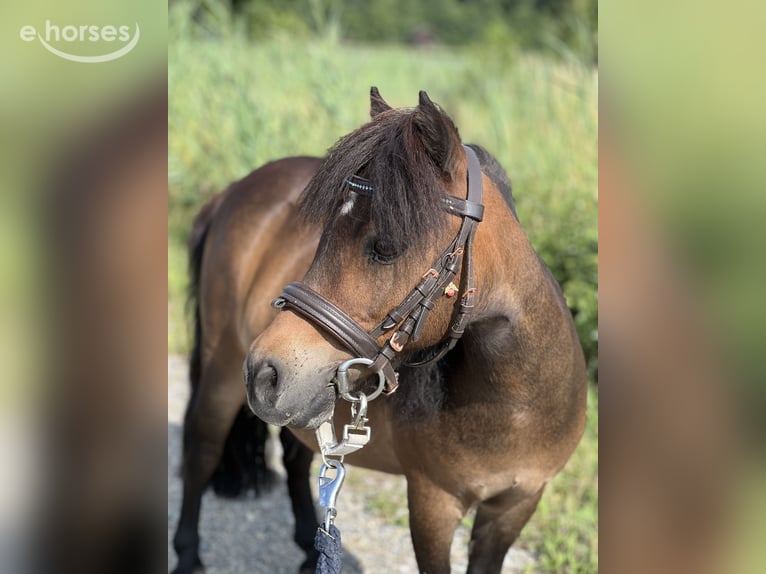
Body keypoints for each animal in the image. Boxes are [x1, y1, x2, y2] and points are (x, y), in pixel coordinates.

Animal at [172, 87, 588, 574]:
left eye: (386, 247)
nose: (264, 373)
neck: (514, 403)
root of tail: (231, 192)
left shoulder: (515, 505)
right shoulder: (432, 503)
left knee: (296, 458)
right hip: (223, 369)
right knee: (202, 450)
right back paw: (187, 554)